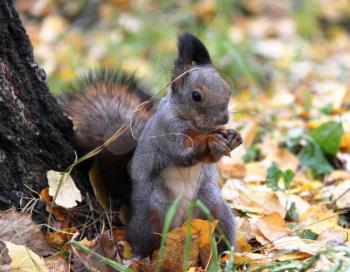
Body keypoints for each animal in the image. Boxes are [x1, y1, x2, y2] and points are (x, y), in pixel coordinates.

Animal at [60, 32, 242, 258]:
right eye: (196, 96)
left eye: (228, 88)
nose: (223, 119)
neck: (197, 125)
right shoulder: (167, 131)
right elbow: (186, 150)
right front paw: (212, 141)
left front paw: (233, 137)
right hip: (154, 212)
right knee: (143, 241)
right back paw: (137, 257)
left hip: (213, 208)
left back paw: (228, 254)